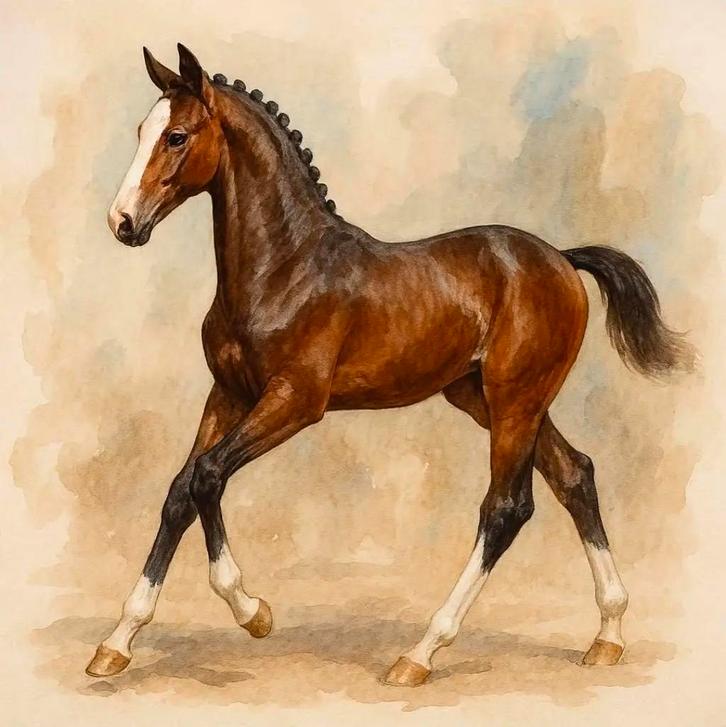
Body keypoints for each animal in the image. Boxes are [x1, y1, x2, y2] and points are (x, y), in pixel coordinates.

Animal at [86, 44, 693, 687]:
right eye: (141, 131)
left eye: (176, 136)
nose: (122, 222)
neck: (284, 267)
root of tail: (559, 257)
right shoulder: (227, 395)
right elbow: (181, 490)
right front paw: (117, 642)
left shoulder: (295, 401)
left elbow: (207, 476)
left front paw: (253, 611)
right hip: (490, 399)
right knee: (575, 475)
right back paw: (608, 635)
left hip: (515, 400)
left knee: (506, 508)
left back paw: (421, 652)